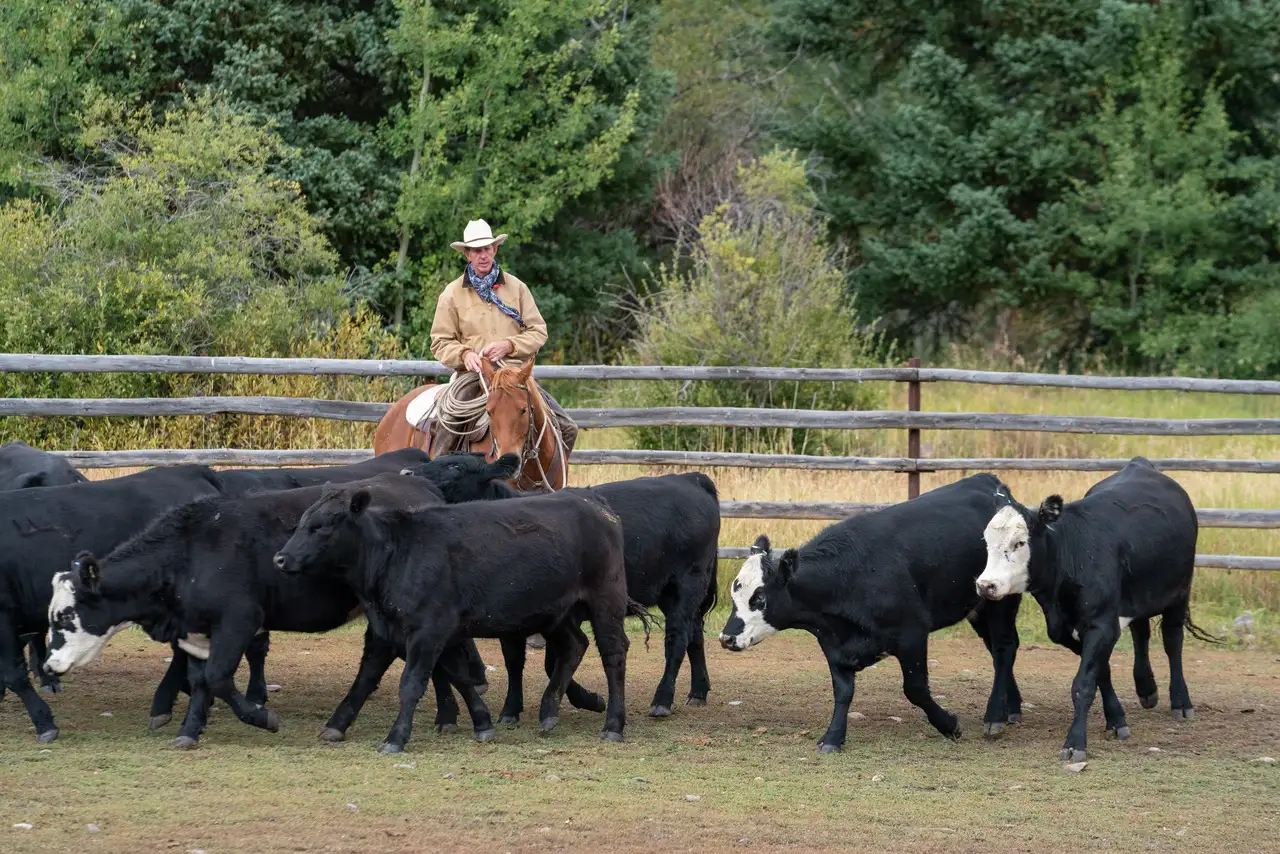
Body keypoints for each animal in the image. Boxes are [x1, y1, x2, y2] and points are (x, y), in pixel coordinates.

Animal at [399, 453, 721, 722]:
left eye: (455, 466)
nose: (406, 472)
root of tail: (690, 478)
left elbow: (553, 659)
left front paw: (586, 699)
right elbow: (515, 659)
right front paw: (511, 709)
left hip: (687, 583)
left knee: (677, 638)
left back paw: (662, 699)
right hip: (675, 592)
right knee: (695, 634)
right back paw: (698, 691)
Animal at [716, 473, 1024, 752]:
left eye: (760, 598)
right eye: (734, 595)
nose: (726, 638)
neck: (850, 575)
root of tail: (991, 483)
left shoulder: (911, 633)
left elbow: (915, 689)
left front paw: (949, 724)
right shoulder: (833, 643)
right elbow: (842, 692)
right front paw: (833, 737)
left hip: (1001, 599)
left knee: (1004, 648)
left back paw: (995, 716)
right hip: (978, 608)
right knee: (996, 650)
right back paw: (1012, 708)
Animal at [972, 458, 1203, 763]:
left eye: (1019, 543)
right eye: (986, 542)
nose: (986, 585)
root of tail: (1140, 464)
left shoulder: (1101, 624)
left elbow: (1082, 684)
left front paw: (1075, 743)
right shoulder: (1071, 630)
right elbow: (1100, 673)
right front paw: (1116, 720)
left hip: (1180, 591)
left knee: (1172, 641)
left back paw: (1180, 701)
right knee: (1141, 633)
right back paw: (1146, 688)